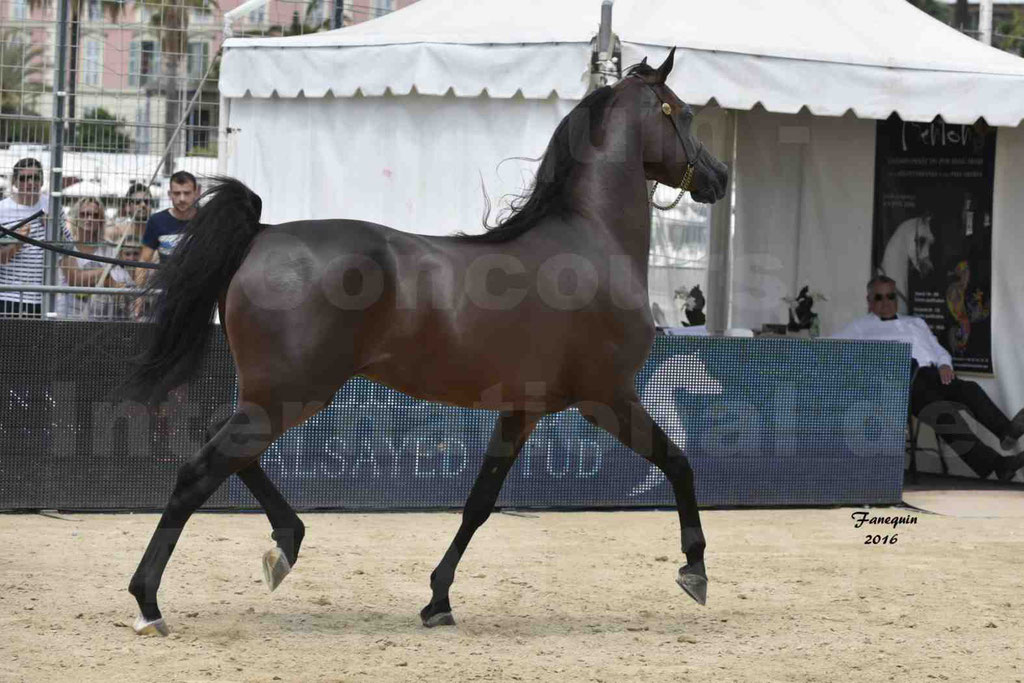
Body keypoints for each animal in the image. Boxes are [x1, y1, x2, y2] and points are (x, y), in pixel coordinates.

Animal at [125, 50, 729, 638]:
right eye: (685, 113)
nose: (719, 177)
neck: (591, 242)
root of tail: (262, 233)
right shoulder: (608, 397)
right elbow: (679, 463)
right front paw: (694, 569)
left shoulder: (521, 411)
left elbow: (479, 503)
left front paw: (438, 600)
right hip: (290, 394)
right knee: (200, 470)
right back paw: (150, 602)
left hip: (274, 394)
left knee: (227, 451)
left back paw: (284, 545)